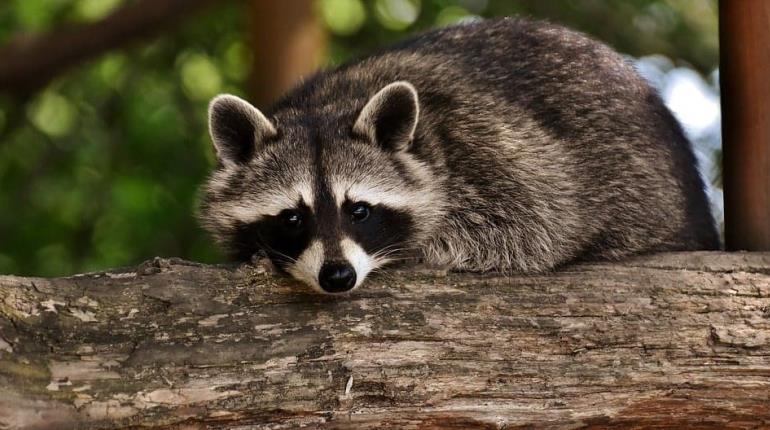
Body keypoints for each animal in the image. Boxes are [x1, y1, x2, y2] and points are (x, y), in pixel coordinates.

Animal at [196, 16, 712, 292]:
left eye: (358, 210)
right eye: (292, 217)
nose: (337, 276)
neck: (327, 106)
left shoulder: (495, 150)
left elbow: (541, 225)